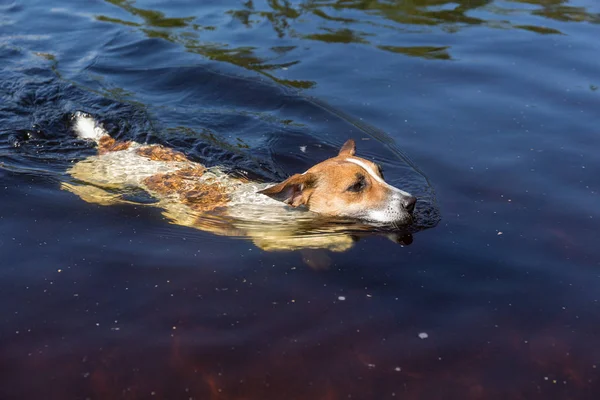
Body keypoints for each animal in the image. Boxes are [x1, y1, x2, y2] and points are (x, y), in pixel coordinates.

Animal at [62, 111, 418, 252]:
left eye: (381, 173)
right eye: (357, 186)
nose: (413, 202)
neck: (287, 211)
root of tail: (113, 143)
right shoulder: (270, 239)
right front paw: (342, 239)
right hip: (99, 184)